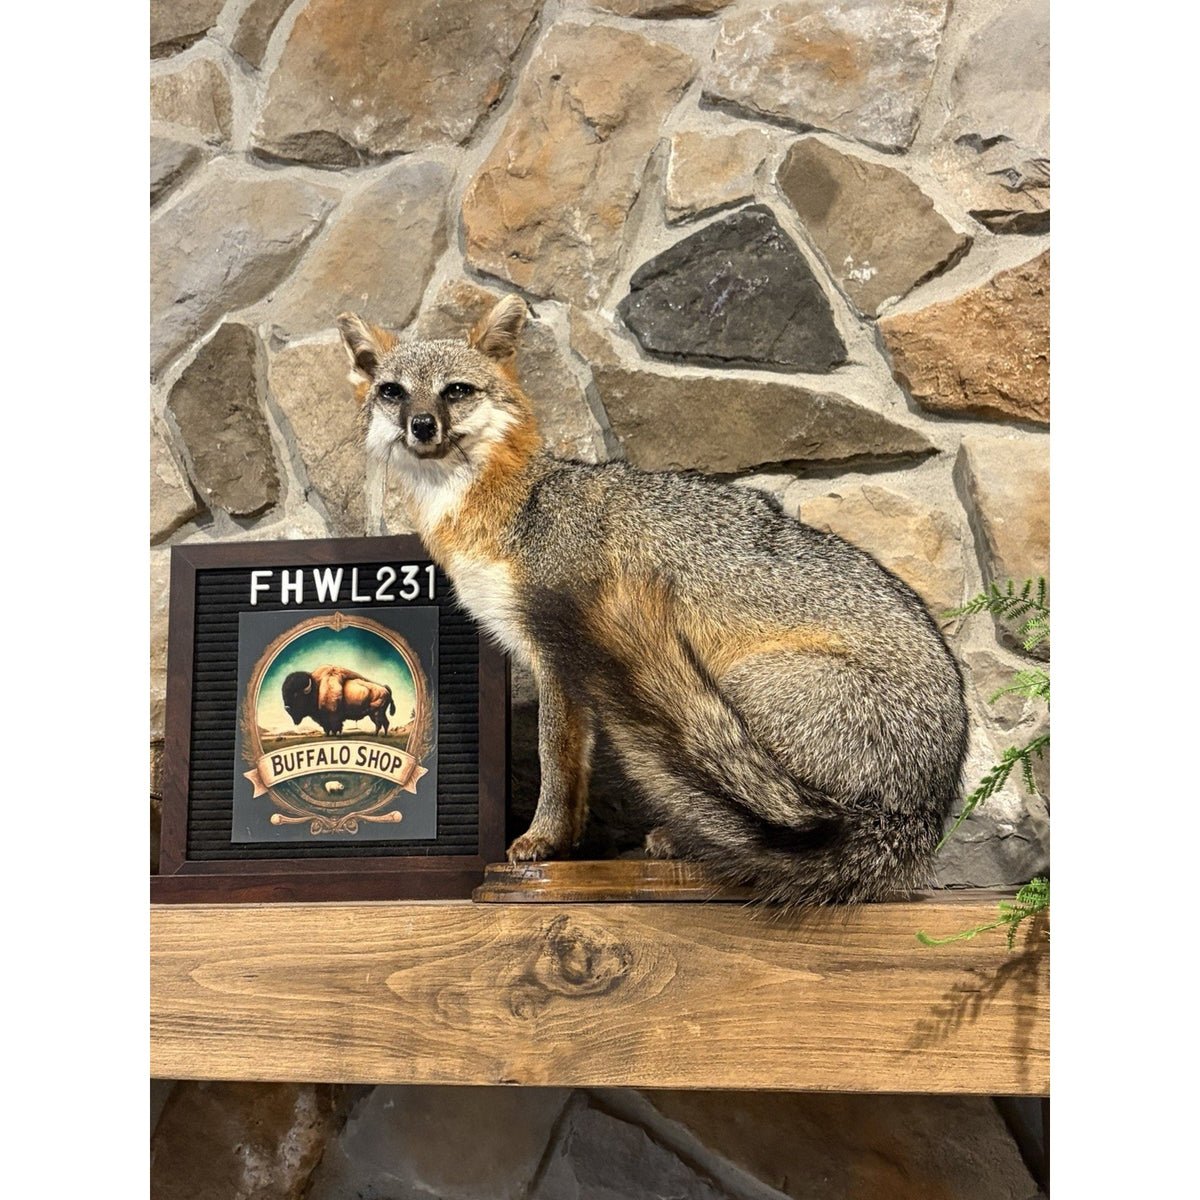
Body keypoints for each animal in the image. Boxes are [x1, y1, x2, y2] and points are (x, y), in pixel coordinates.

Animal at [336, 294, 969, 905]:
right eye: (393, 392)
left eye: (456, 391)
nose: (421, 425)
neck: (518, 504)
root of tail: (915, 817)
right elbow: (574, 764)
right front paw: (563, 843)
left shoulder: (556, 651)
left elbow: (553, 757)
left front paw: (541, 839)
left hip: (735, 687)